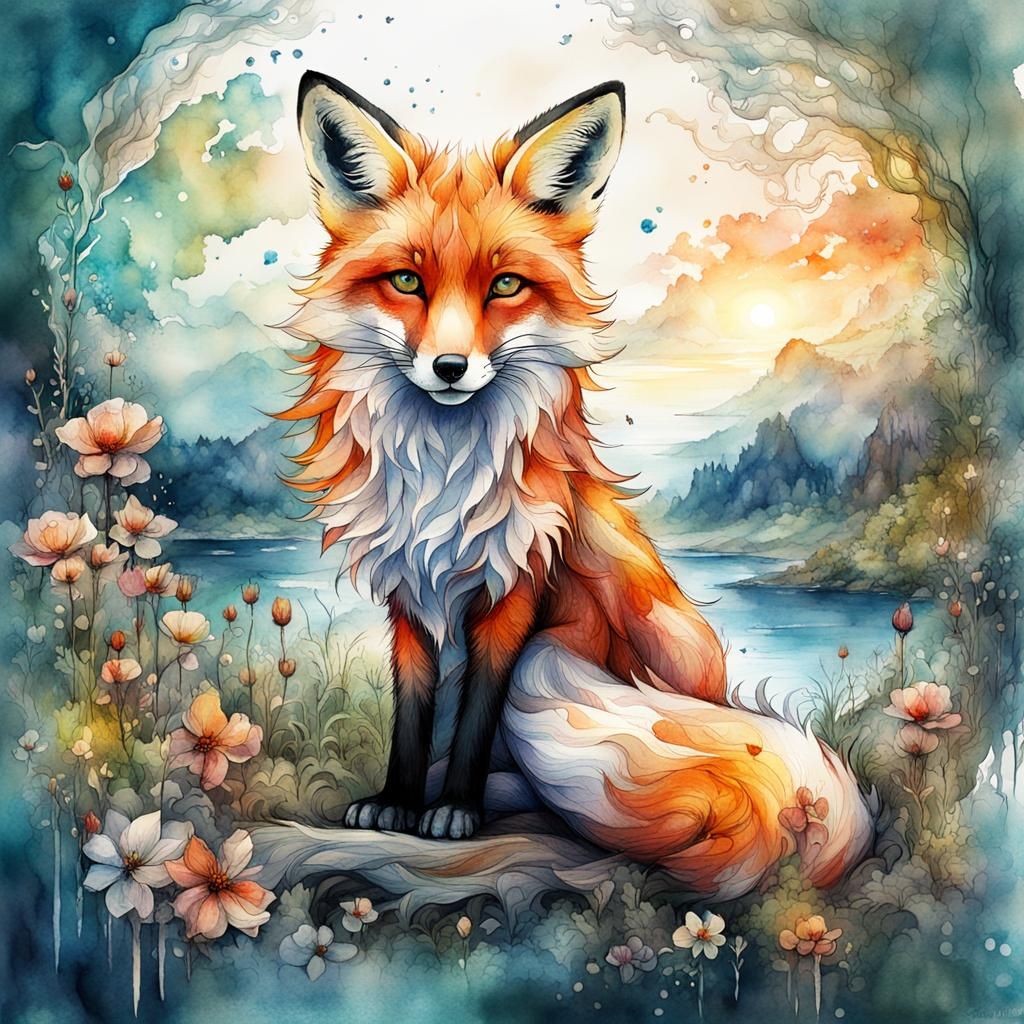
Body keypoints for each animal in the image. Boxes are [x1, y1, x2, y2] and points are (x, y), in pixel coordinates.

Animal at [279, 71, 874, 900]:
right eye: (405, 281)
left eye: (505, 285)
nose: (451, 368)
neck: (443, 480)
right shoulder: (408, 591)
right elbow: (413, 707)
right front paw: (399, 799)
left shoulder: (516, 589)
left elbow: (475, 711)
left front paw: (451, 809)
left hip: (552, 668)